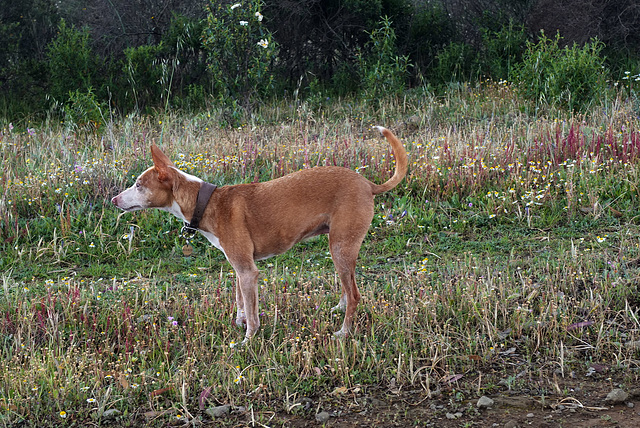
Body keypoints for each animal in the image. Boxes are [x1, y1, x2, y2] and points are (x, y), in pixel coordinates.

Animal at [110, 127, 408, 344]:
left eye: (138, 185)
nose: (113, 200)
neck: (207, 202)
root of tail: (367, 183)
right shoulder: (239, 269)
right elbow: (240, 300)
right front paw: (239, 322)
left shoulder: (248, 271)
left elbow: (252, 314)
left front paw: (247, 340)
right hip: (340, 248)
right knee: (349, 288)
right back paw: (338, 308)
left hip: (340, 247)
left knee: (356, 294)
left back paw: (343, 332)